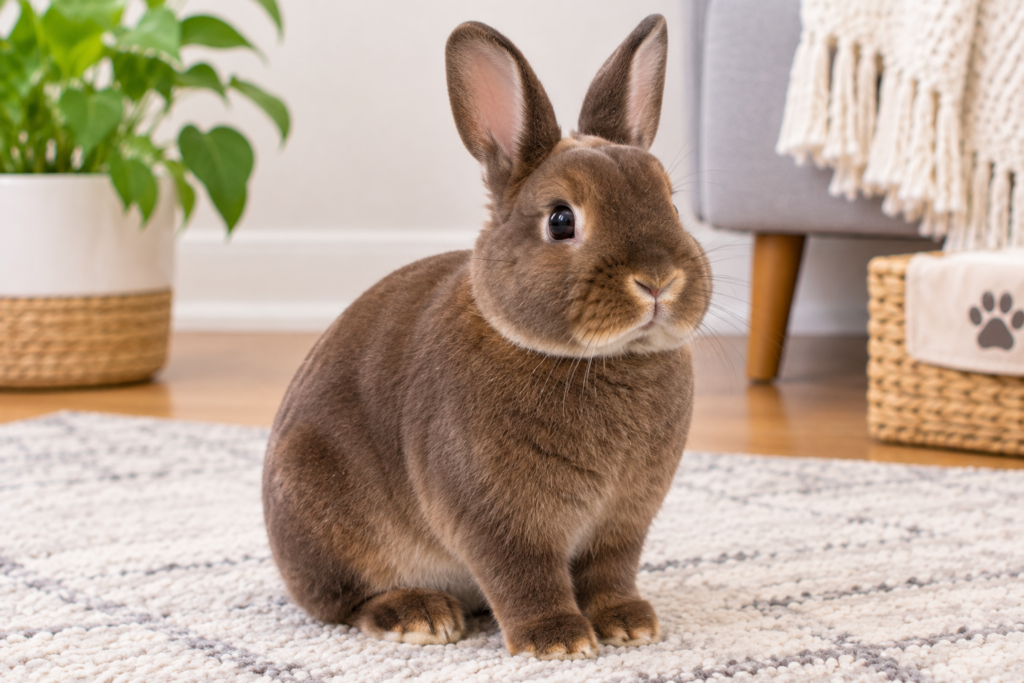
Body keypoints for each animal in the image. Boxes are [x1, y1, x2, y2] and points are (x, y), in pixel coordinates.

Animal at [262, 14, 711, 661]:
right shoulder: (495, 518)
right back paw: (420, 616)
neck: (602, 358)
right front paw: (558, 641)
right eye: (561, 220)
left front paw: (629, 625)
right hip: (323, 510)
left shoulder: (623, 522)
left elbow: (609, 572)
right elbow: (523, 575)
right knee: (346, 603)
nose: (658, 281)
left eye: (671, 203)